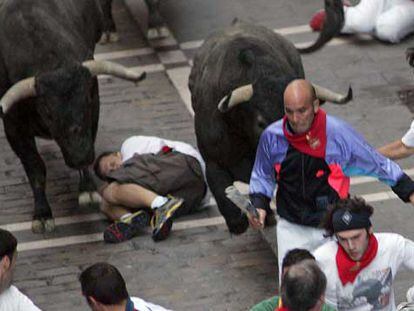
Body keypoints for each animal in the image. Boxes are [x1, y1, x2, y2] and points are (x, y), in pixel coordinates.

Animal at [0, 0, 146, 233]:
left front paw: (87, 190)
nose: (80, 156)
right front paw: (42, 214)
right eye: (47, 112)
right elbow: (35, 168)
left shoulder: (94, 109)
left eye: (86, 100)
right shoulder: (13, 127)